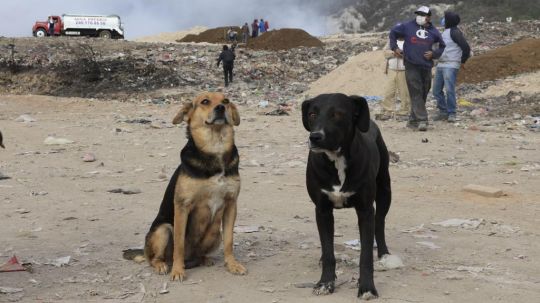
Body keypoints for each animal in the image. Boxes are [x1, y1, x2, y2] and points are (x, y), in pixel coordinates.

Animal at [124, 92, 245, 280]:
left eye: (226, 101)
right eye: (205, 101)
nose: (221, 108)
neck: (215, 146)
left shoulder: (231, 203)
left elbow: (229, 241)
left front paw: (232, 265)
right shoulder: (183, 206)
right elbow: (179, 244)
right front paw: (177, 271)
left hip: (215, 233)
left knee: (200, 253)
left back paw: (203, 260)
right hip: (163, 230)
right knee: (155, 257)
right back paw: (163, 265)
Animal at [302, 94, 390, 300]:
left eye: (338, 114)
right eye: (312, 114)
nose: (315, 137)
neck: (336, 159)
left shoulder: (365, 211)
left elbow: (365, 255)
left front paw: (367, 287)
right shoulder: (322, 211)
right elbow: (328, 251)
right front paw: (325, 283)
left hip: (385, 190)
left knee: (380, 222)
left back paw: (384, 253)